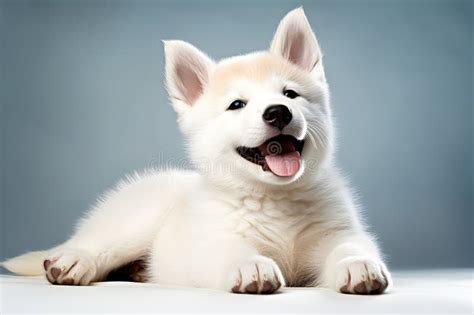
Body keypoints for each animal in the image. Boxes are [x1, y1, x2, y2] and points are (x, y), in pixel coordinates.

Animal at [1, 8, 390, 296]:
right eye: (237, 104)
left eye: (290, 94)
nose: (278, 112)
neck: (275, 198)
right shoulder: (209, 241)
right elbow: (231, 249)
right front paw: (251, 264)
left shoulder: (336, 232)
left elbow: (349, 246)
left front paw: (358, 265)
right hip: (136, 218)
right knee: (95, 241)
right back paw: (72, 262)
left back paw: (137, 271)